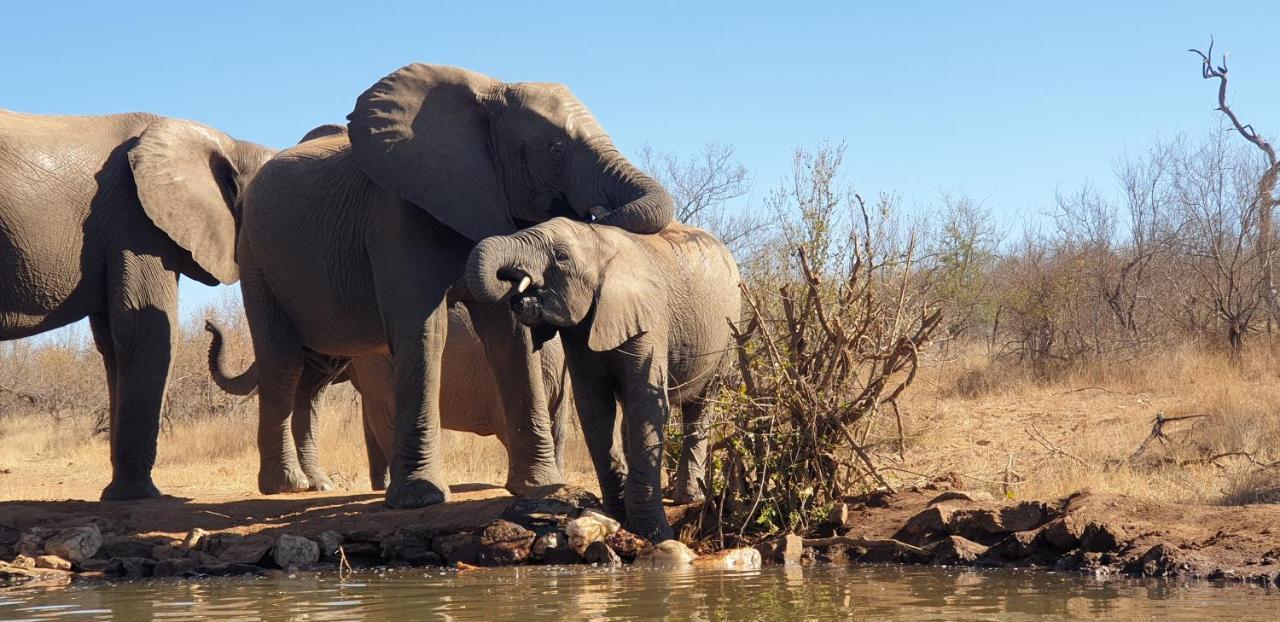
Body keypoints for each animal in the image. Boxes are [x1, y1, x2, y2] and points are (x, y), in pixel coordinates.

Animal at [0, 110, 272, 501]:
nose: (209, 324)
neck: (233, 145)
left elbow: (114, 344)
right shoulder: (137, 225)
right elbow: (148, 332)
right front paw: (138, 495)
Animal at [204, 303, 576, 494]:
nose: (208, 324)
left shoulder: (376, 360)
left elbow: (384, 414)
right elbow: (370, 421)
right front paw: (379, 487)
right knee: (557, 431)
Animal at [463, 216, 742, 542]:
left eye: (561, 256)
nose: (516, 285)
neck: (600, 241)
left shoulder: (648, 319)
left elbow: (646, 402)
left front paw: (656, 533)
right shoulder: (581, 330)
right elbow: (595, 410)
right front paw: (617, 519)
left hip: (728, 331)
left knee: (701, 404)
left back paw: (689, 498)